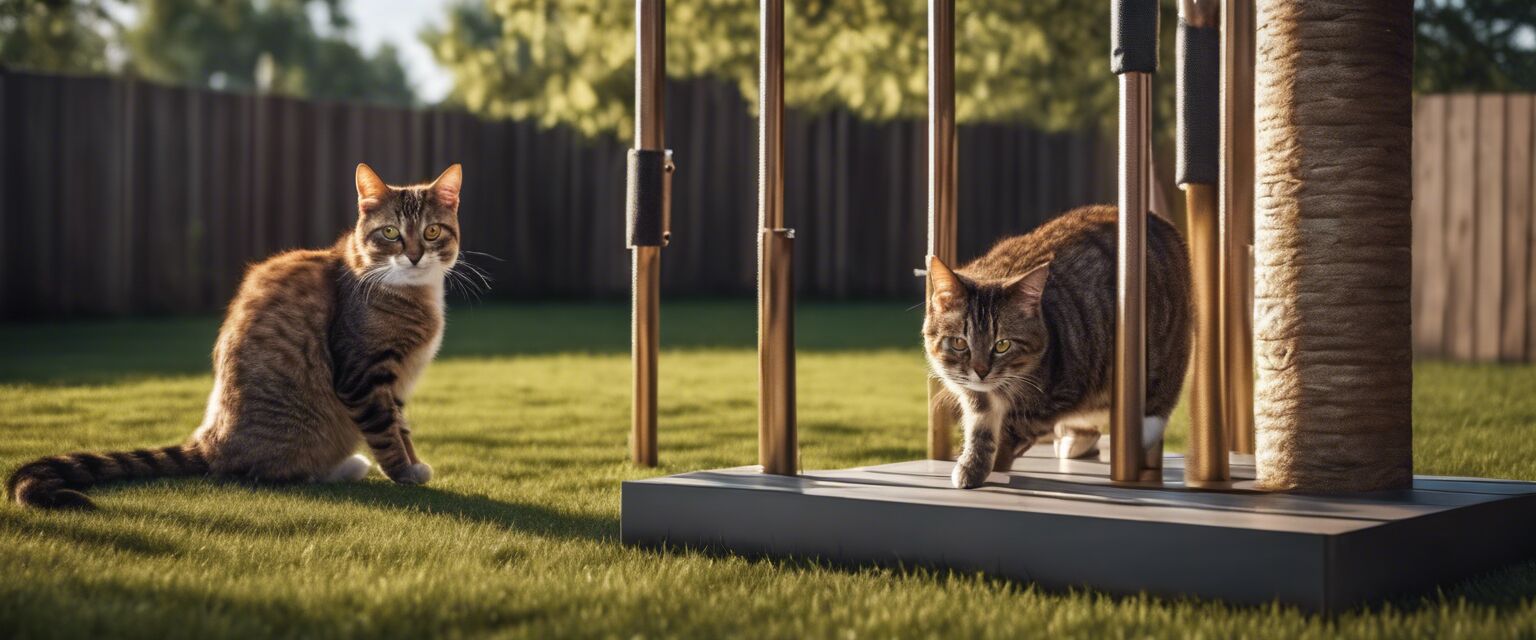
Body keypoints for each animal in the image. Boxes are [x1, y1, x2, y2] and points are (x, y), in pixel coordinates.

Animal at [7, 163, 460, 509]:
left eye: (432, 232)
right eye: (390, 233)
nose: (415, 255)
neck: (411, 294)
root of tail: (209, 441)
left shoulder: (394, 383)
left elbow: (401, 425)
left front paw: (413, 460)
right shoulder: (362, 375)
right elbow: (386, 430)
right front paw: (404, 471)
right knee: (268, 472)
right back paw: (344, 468)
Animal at [915, 205, 1191, 488]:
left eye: (1002, 345)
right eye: (959, 342)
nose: (981, 371)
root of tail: (1160, 221)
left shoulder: (1057, 396)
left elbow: (1013, 428)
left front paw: (996, 461)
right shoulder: (972, 394)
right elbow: (979, 427)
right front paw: (973, 463)